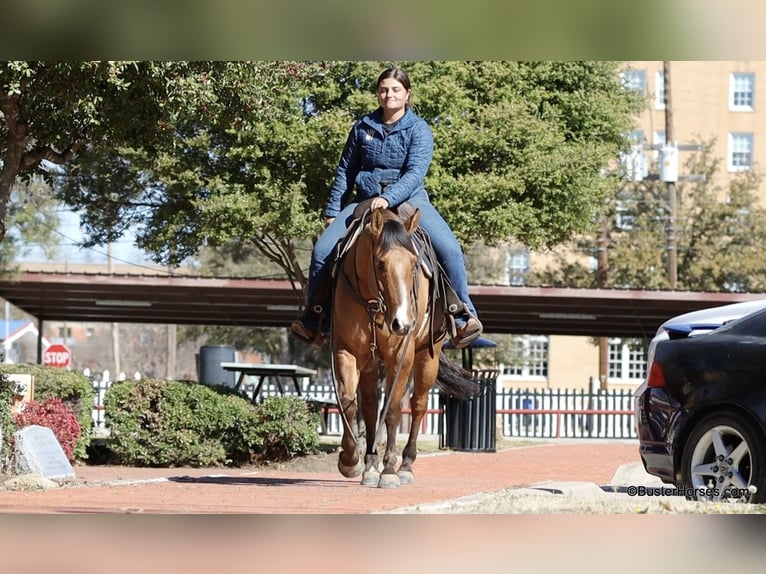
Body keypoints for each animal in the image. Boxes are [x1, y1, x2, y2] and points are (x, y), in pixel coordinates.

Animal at [330, 203, 479, 488]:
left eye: (414, 265)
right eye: (380, 263)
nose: (403, 323)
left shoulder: (401, 356)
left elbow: (394, 410)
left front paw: (389, 470)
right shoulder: (346, 350)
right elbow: (348, 402)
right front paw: (350, 461)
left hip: (427, 357)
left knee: (418, 404)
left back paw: (406, 465)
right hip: (371, 363)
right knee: (369, 405)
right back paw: (370, 466)